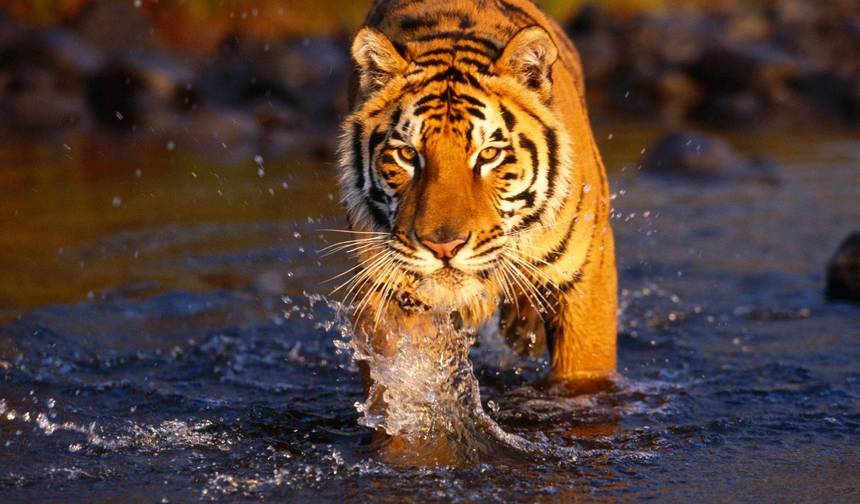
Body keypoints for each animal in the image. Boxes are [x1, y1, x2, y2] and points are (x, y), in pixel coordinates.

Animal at [335, 0, 617, 422]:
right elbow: (400, 392)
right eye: (408, 155)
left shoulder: (586, 278)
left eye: (488, 155)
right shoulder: (386, 293)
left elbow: (583, 378)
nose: (443, 247)